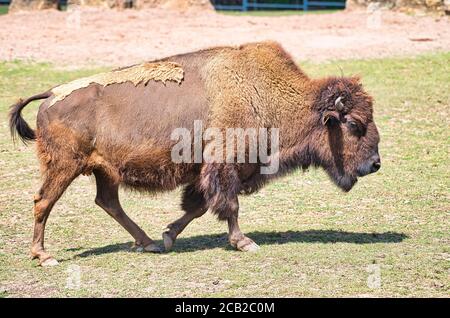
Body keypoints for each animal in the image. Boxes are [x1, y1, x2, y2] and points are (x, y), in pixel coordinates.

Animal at [8, 41, 380, 266]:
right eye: (354, 124)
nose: (375, 164)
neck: (263, 93)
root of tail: (50, 94)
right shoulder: (225, 166)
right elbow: (228, 205)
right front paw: (244, 242)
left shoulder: (206, 172)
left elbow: (198, 206)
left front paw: (168, 235)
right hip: (64, 167)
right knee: (43, 201)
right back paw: (44, 256)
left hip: (104, 170)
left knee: (108, 202)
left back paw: (147, 242)